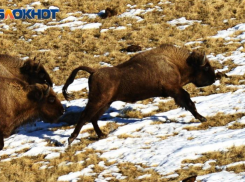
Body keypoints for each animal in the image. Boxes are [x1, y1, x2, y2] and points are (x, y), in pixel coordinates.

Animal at [62, 43, 215, 144]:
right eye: (206, 68)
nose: (215, 77)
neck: (175, 63)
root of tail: (94, 71)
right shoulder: (175, 89)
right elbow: (188, 102)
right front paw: (202, 118)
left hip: (105, 103)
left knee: (93, 118)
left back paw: (101, 135)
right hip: (97, 101)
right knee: (85, 116)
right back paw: (71, 139)